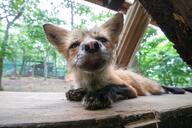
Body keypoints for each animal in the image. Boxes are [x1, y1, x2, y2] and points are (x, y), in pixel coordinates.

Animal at [42, 12, 191, 109]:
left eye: (102, 39)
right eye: (74, 45)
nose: (92, 45)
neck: (93, 82)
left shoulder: (130, 89)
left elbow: (111, 87)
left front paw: (97, 96)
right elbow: (78, 90)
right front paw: (78, 92)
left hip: (153, 88)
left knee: (164, 87)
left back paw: (176, 90)